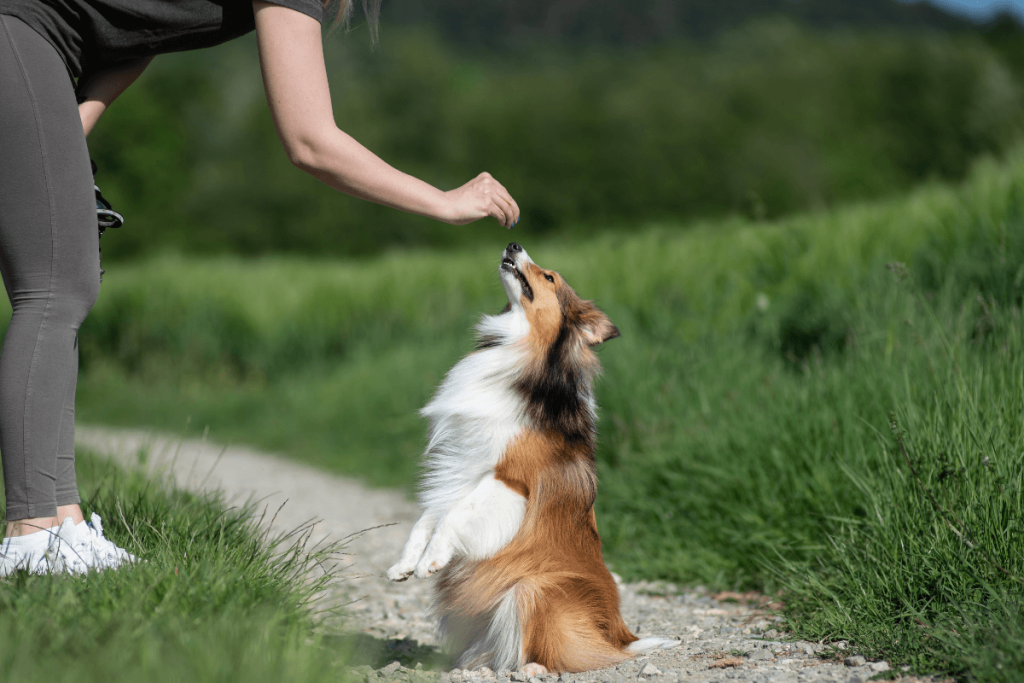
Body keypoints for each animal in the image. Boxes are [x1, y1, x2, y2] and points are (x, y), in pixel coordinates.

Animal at [387, 244, 675, 671]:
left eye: (550, 277)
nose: (513, 245)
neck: (520, 349)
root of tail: (623, 637)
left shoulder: (509, 479)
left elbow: (454, 514)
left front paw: (431, 561)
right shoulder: (462, 464)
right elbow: (428, 516)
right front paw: (405, 563)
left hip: (533, 587)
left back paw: (532, 668)